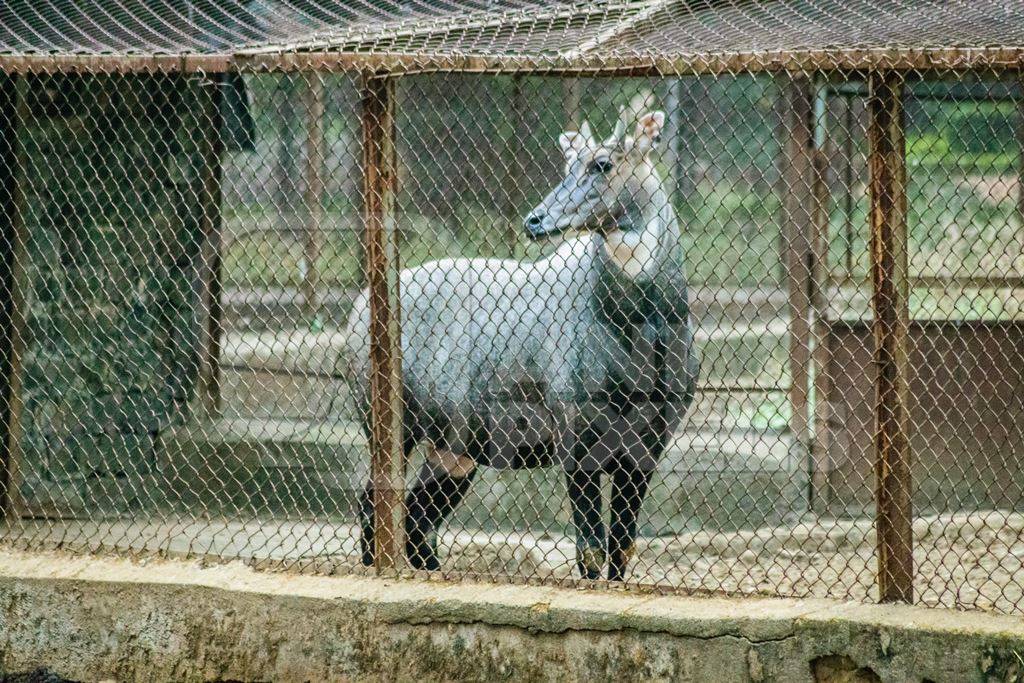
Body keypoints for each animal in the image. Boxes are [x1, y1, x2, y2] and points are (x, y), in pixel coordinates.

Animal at [348, 109, 700, 581]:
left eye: (602, 163)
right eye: (568, 163)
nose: (535, 220)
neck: (639, 322)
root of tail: (361, 305)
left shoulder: (649, 442)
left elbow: (622, 546)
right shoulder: (576, 433)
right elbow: (591, 547)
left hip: (454, 449)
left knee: (419, 516)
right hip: (390, 429)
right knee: (375, 502)